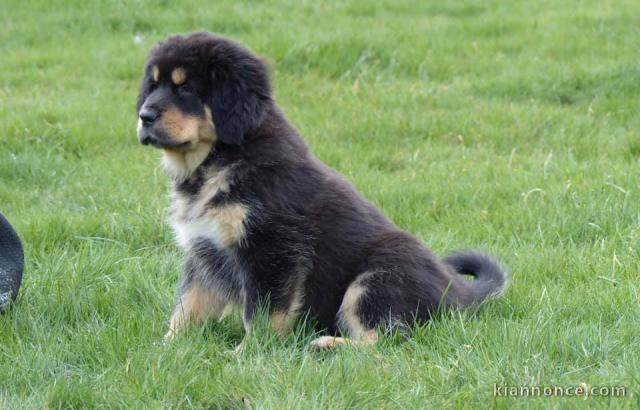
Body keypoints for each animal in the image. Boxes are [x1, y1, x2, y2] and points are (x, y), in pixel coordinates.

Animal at [138, 32, 508, 350]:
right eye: (153, 85)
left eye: (186, 88)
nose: (144, 115)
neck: (218, 160)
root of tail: (459, 293)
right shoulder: (204, 251)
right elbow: (187, 308)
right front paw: (165, 350)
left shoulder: (272, 251)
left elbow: (262, 314)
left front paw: (248, 354)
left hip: (375, 279)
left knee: (388, 339)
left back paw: (327, 345)